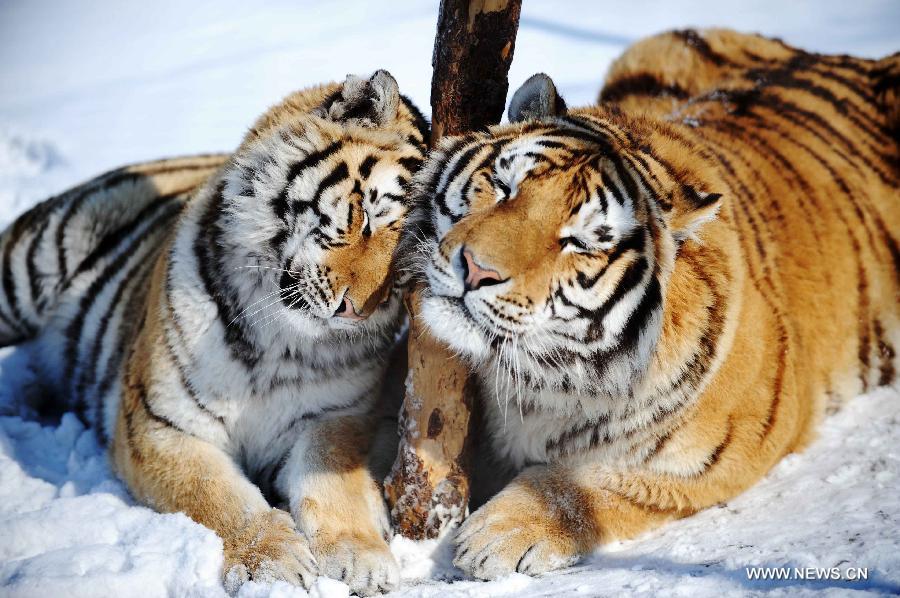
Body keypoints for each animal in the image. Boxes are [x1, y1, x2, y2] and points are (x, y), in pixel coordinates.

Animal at [0, 70, 428, 596]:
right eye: (365, 217)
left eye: (404, 265)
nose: (355, 311)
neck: (283, 344)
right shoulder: (162, 424)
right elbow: (218, 497)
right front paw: (272, 561)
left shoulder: (335, 418)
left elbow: (333, 484)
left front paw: (360, 556)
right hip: (28, 267)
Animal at [410, 29, 900, 580]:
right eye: (503, 187)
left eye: (578, 242)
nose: (475, 269)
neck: (537, 383)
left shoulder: (734, 446)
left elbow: (591, 481)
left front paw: (497, 534)